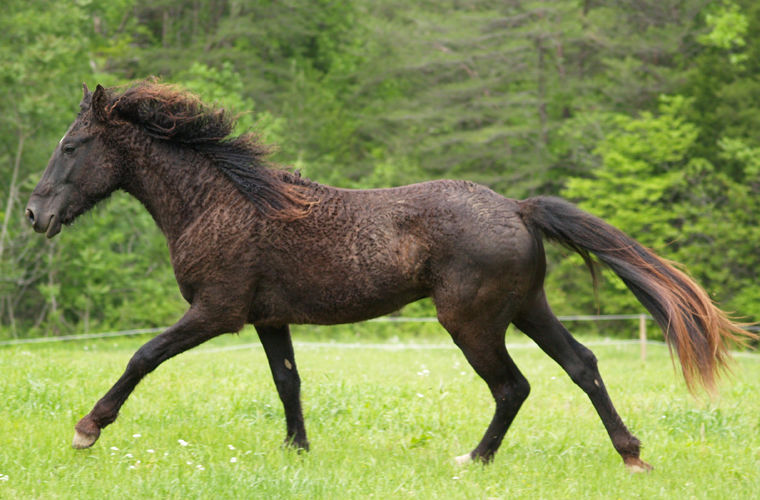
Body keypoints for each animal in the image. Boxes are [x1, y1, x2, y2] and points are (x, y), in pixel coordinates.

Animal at [26, 81, 753, 472]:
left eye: (70, 146)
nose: (34, 215)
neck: (222, 203)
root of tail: (518, 207)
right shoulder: (267, 318)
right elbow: (288, 381)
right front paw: (299, 452)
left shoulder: (216, 311)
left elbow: (142, 356)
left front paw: (87, 428)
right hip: (527, 308)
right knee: (582, 365)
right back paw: (630, 454)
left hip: (470, 321)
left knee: (513, 386)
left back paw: (474, 460)